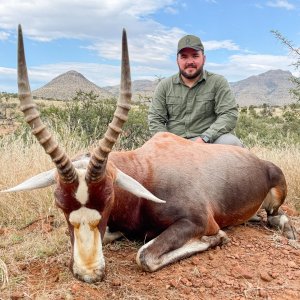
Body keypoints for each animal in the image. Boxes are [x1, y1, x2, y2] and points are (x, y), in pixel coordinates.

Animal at [2, 24, 298, 282]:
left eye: (109, 199)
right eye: (59, 204)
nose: (89, 273)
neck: (145, 171)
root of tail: (262, 163)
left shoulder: (196, 221)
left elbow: (144, 256)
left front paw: (217, 239)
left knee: (275, 215)